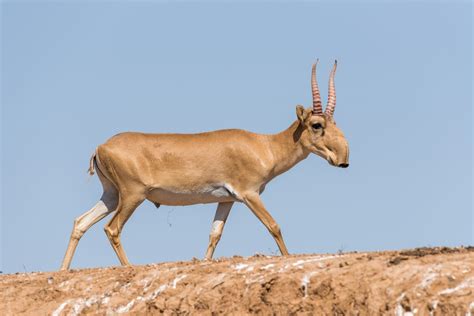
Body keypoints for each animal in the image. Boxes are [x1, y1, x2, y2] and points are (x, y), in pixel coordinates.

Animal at [60, 60, 348, 270]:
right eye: (316, 125)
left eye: (335, 123)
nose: (343, 159)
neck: (264, 145)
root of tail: (101, 147)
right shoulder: (250, 194)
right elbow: (274, 225)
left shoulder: (227, 200)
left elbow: (214, 235)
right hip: (132, 196)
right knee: (112, 228)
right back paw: (129, 267)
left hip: (111, 195)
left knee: (80, 222)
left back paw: (63, 270)